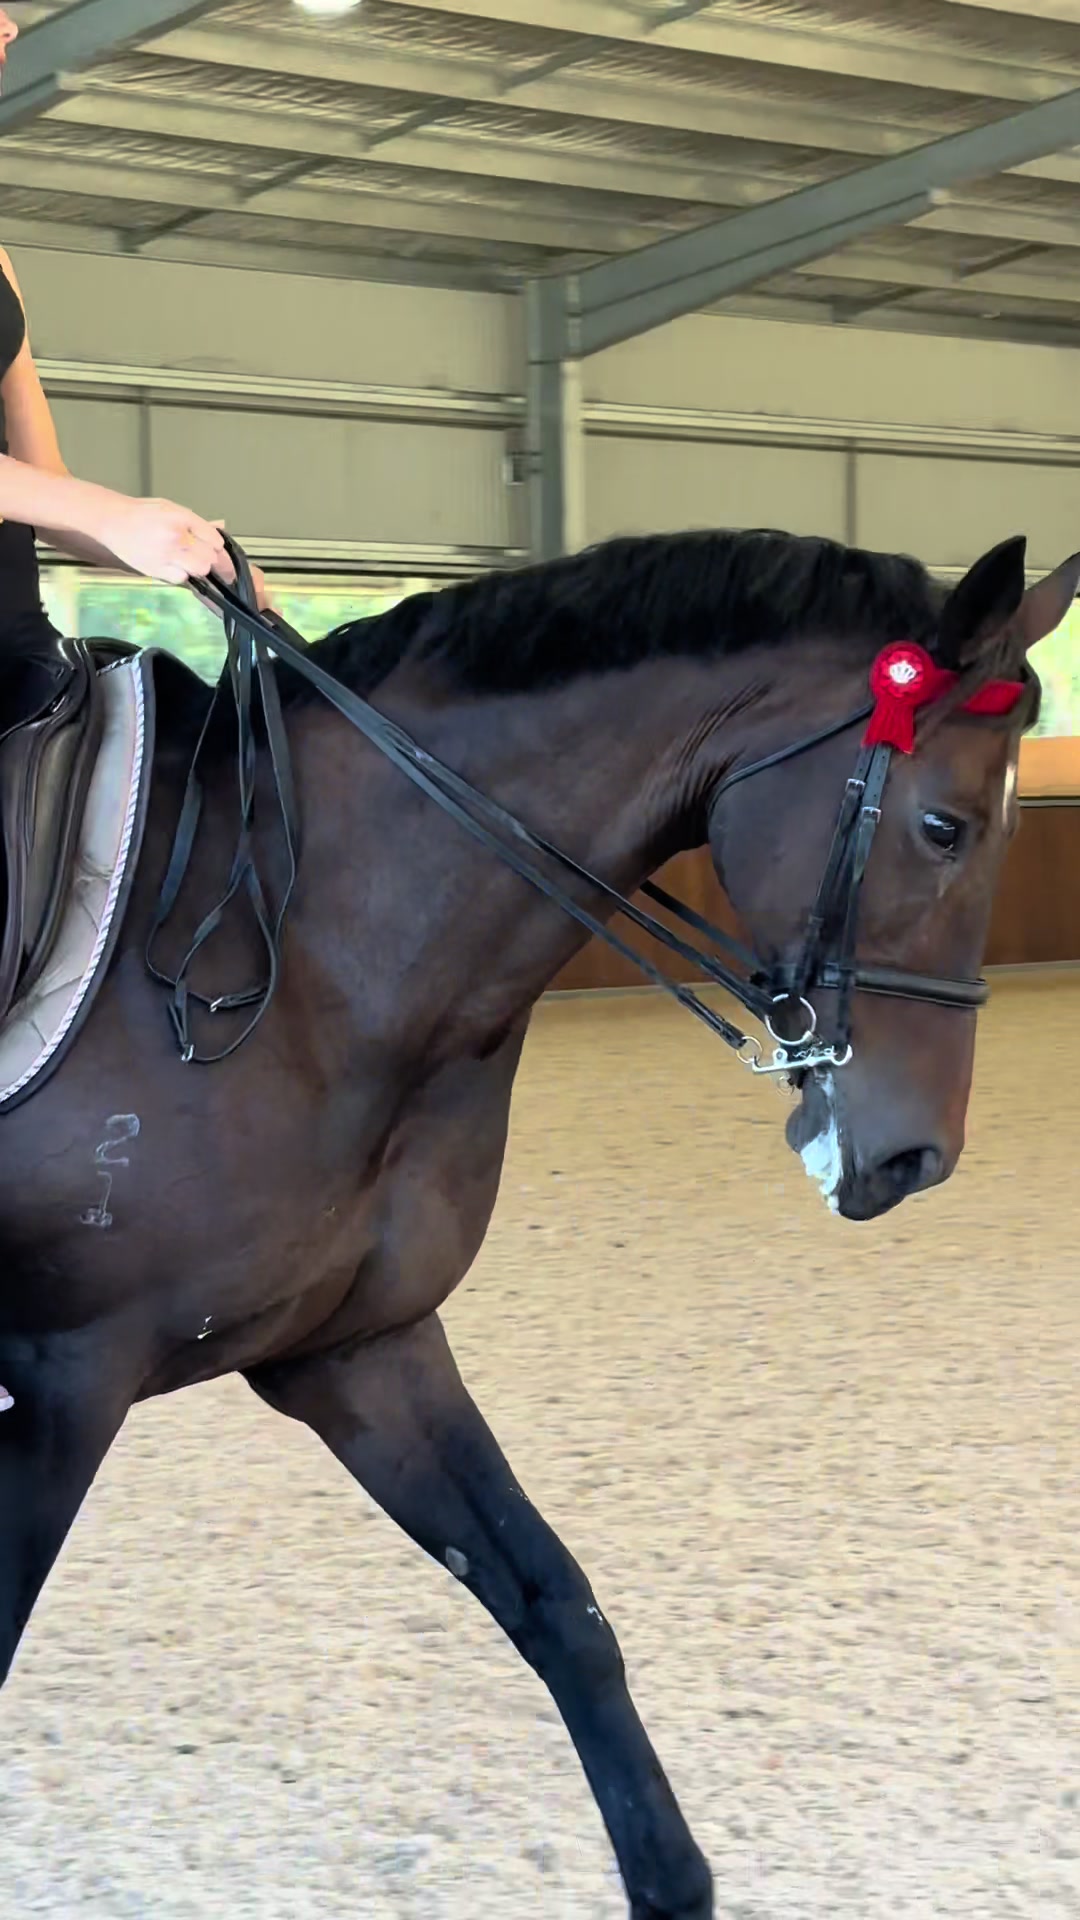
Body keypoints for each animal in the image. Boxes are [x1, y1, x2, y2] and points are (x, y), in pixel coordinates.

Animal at [1, 524, 1074, 1920]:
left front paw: (670, 1879)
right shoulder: (66, 1381)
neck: (310, 956)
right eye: (944, 827)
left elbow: (558, 1606)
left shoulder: (359, 1347)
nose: (914, 1158)